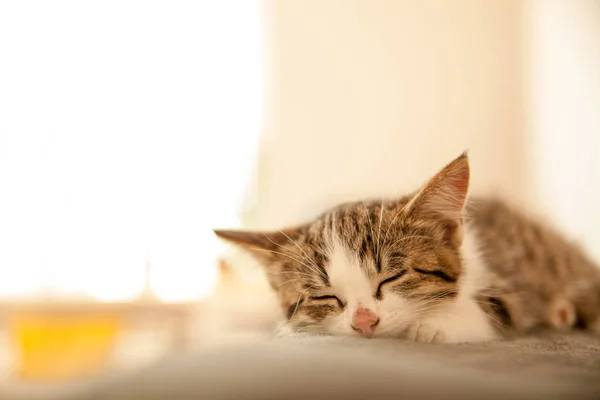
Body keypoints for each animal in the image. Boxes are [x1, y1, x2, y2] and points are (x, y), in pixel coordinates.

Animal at [214, 154, 600, 344]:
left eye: (391, 278)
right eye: (325, 297)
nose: (365, 322)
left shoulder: (509, 284)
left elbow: (496, 309)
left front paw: (436, 324)